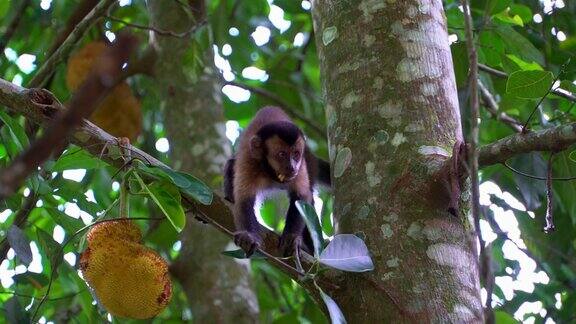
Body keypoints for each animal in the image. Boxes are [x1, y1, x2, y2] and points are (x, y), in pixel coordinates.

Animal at [224, 107, 330, 256]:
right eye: (282, 154)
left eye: (296, 154)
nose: (292, 166)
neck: (271, 173)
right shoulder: (249, 161)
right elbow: (244, 199)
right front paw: (250, 236)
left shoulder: (301, 167)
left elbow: (302, 197)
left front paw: (292, 238)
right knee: (230, 167)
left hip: (310, 162)